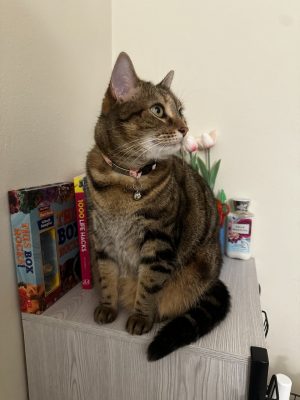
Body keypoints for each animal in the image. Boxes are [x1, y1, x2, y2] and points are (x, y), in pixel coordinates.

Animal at [85, 51, 231, 360]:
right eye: (158, 110)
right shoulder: (102, 238)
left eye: (181, 110)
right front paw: (107, 306)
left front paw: (141, 317)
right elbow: (107, 277)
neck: (125, 177)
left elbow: (149, 283)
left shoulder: (158, 241)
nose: (185, 128)